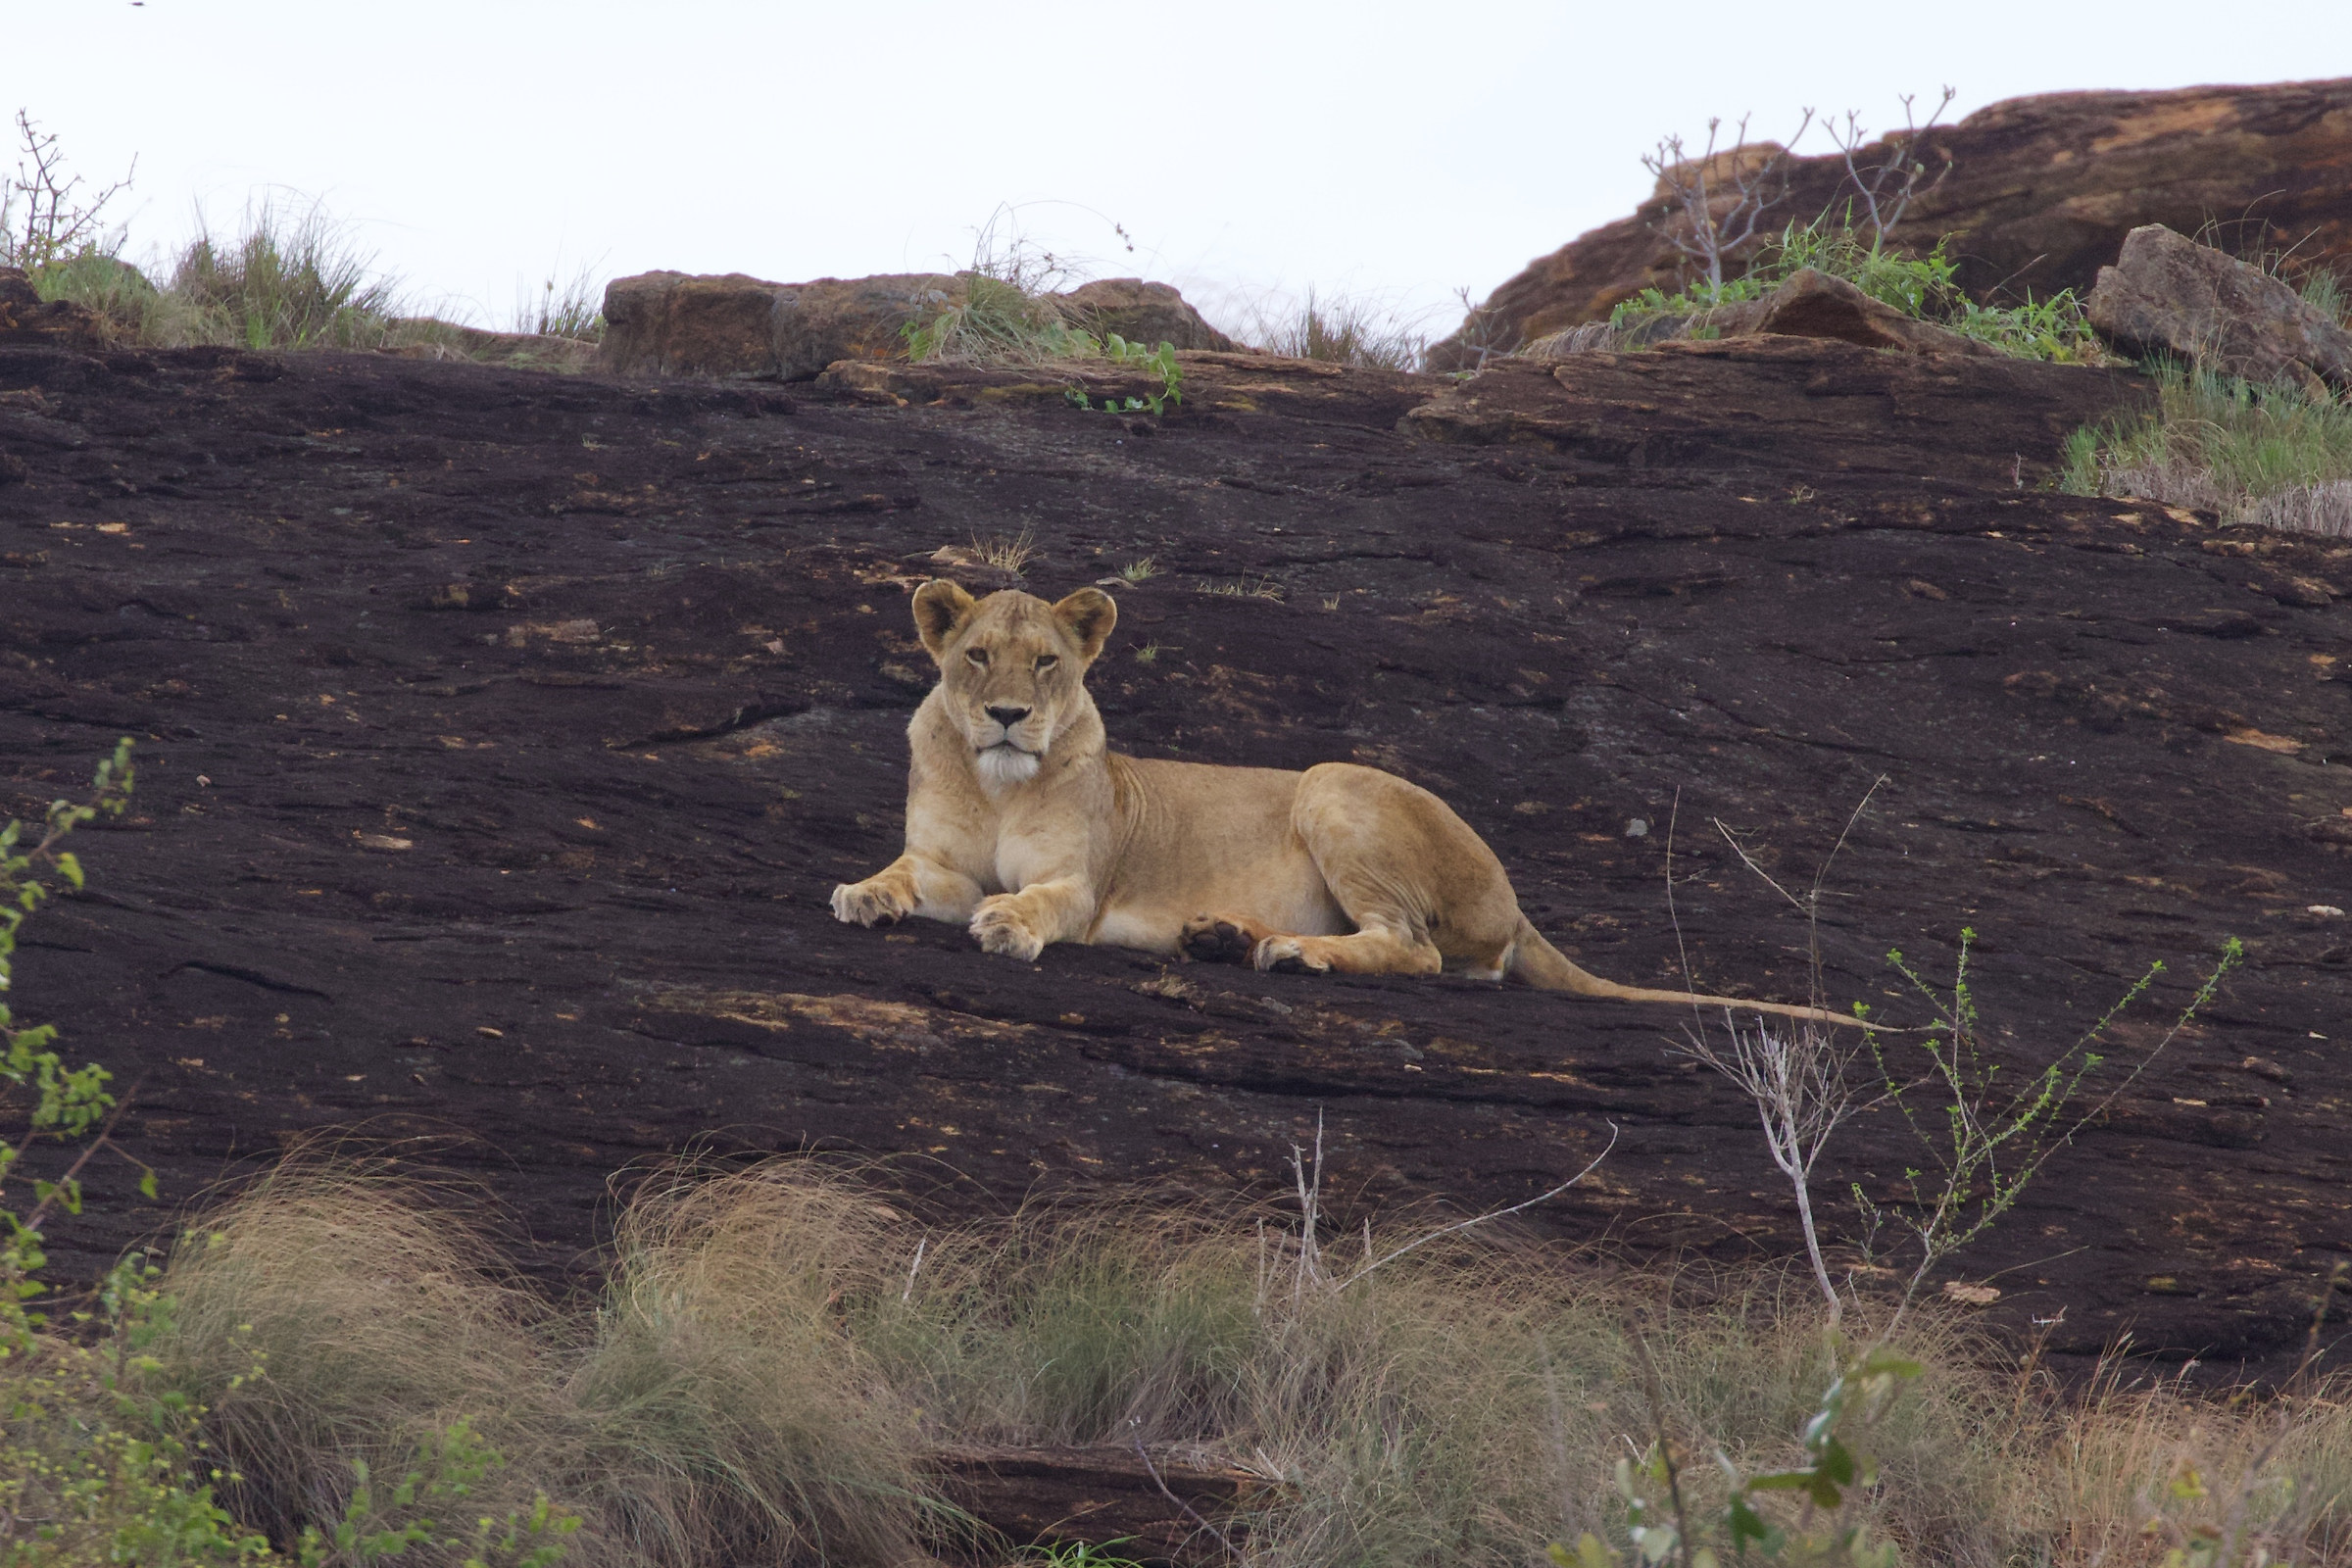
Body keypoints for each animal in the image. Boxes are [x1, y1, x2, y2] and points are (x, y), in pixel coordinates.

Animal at [829, 581, 1863, 1027]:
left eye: (1046, 662)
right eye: (975, 656)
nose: (1007, 715)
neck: (999, 784)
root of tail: (1517, 899)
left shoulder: (1078, 886)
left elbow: (1039, 901)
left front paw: (1007, 927)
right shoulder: (945, 863)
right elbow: (903, 870)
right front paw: (862, 896)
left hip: (1332, 782)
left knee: (1420, 951)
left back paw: (1293, 953)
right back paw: (1223, 939)